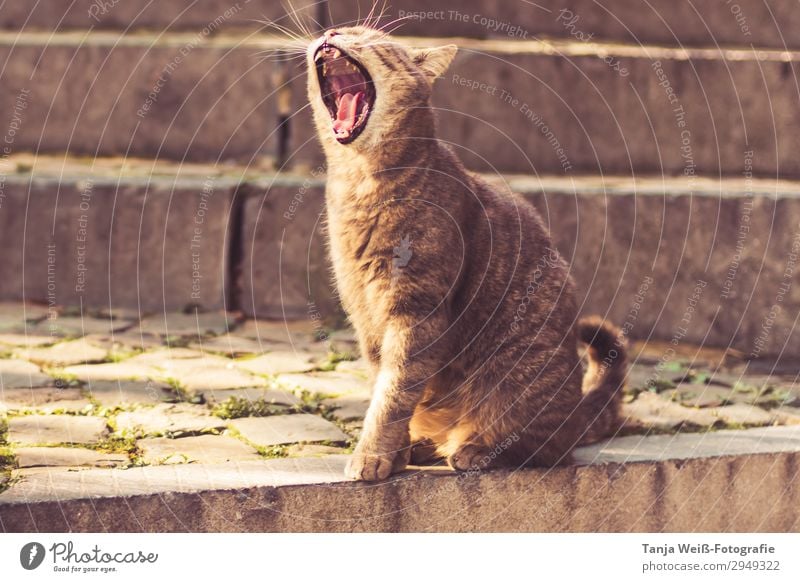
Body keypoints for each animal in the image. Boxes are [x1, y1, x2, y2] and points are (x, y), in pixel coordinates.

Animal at [306, 25, 624, 484]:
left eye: (365, 34)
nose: (332, 31)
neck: (356, 181)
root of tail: (575, 414)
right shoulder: (365, 319)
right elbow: (385, 386)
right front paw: (395, 455)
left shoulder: (417, 311)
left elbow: (393, 393)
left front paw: (372, 456)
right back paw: (426, 445)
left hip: (516, 377)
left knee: (546, 448)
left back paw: (475, 449)